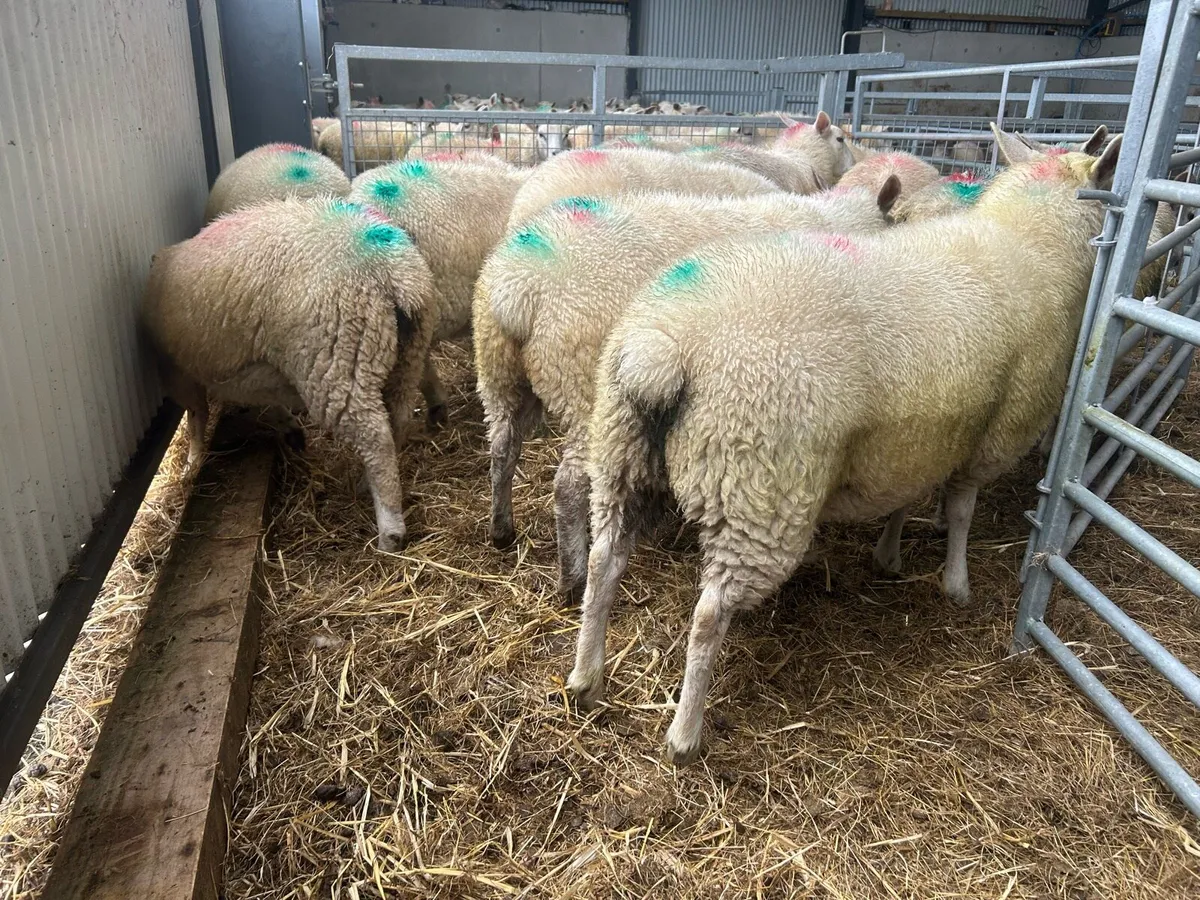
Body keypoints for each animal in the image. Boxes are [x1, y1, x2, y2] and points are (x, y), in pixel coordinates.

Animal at [141, 196, 436, 552]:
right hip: (407, 357)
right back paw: (371, 484)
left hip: (335, 362)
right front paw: (288, 427)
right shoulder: (251, 370)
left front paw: (191, 464)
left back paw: (390, 532)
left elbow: (197, 417)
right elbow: (259, 399)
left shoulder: (181, 372)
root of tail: (393, 273)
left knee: (375, 437)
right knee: (398, 419)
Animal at [475, 178, 901, 597]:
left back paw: (501, 530)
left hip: (501, 374)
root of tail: (518, 286)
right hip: (581, 386)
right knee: (566, 485)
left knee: (502, 448)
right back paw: (571, 578)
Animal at [565, 126, 1122, 765]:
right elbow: (960, 510)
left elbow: (907, 497)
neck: (1031, 241)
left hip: (622, 453)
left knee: (605, 561)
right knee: (708, 615)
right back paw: (684, 734)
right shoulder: (996, 430)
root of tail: (664, 351)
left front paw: (890, 553)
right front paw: (956, 584)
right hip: (758, 490)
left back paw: (585, 678)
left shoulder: (919, 435)